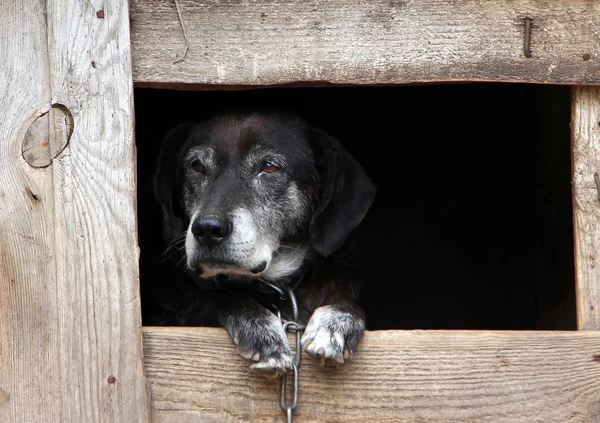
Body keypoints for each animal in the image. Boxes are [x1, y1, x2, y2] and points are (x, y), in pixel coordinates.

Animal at [151, 110, 376, 374]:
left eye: (268, 167)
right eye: (196, 165)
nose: (207, 229)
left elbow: (352, 305)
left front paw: (336, 322)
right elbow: (216, 298)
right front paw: (262, 332)